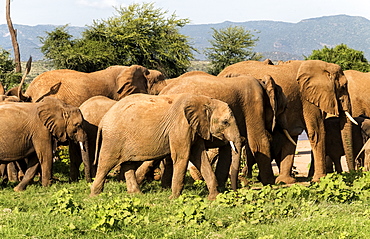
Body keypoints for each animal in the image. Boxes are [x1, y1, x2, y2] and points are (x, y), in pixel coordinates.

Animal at [90, 93, 243, 200]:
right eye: (225, 122)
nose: (235, 192)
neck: (204, 100)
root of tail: (104, 118)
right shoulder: (180, 126)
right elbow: (182, 157)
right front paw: (173, 199)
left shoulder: (194, 128)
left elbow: (200, 157)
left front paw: (213, 198)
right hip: (113, 139)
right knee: (106, 163)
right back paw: (95, 196)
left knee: (128, 164)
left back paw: (137, 194)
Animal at [157, 71, 292, 187]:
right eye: (285, 108)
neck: (262, 83)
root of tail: (162, 92)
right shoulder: (253, 103)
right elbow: (259, 142)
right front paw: (271, 184)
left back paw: (167, 186)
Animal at [218, 59, 356, 183]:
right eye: (343, 86)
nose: (353, 174)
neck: (323, 66)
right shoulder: (308, 99)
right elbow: (316, 133)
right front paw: (319, 180)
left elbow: (292, 135)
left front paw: (285, 181)